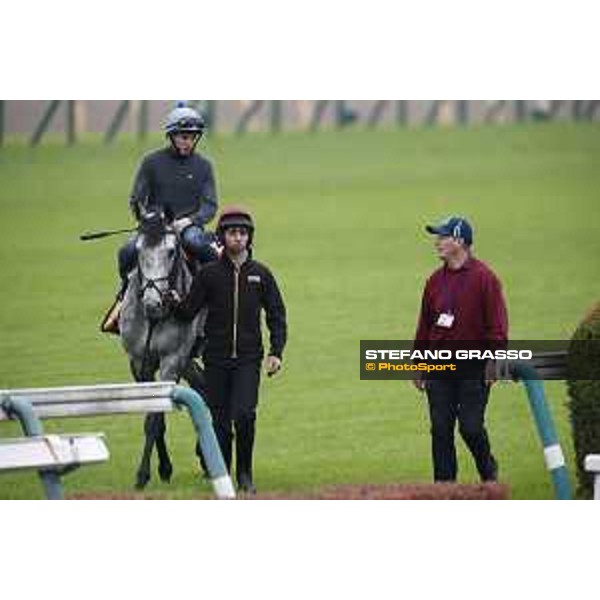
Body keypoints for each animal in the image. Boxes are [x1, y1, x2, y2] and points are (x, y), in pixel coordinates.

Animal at [119, 209, 209, 490]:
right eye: (138, 251)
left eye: (171, 251)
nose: (152, 303)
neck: (153, 320)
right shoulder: (139, 363)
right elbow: (152, 414)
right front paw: (162, 469)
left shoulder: (172, 361)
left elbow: (156, 417)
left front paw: (144, 474)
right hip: (187, 362)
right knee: (204, 387)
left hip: (186, 358)